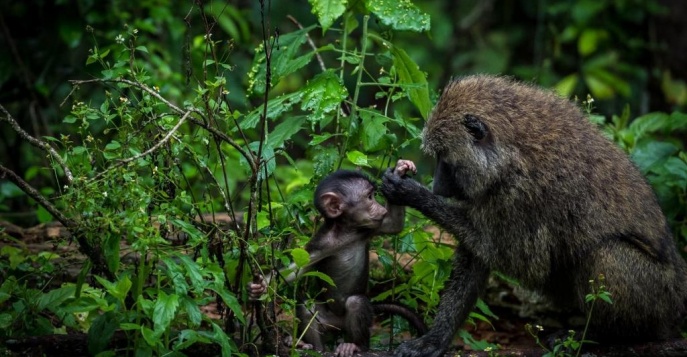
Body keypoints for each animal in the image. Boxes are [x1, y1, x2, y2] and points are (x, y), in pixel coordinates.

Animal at [382, 73, 687, 354]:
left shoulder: (522, 193)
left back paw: (596, 336)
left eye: (443, 157)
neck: (509, 151)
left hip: (658, 298)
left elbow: (517, 258)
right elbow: (476, 257)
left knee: (607, 252)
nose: (437, 186)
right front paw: (435, 339)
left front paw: (410, 192)